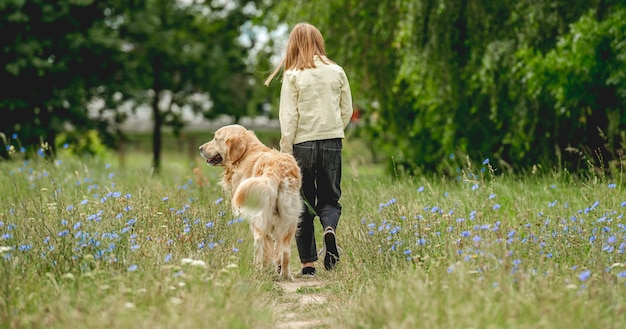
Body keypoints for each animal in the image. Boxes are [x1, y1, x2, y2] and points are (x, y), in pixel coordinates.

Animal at [197, 124, 300, 278]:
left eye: (216, 138)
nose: (200, 148)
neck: (245, 154)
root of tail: (276, 169)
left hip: (259, 218)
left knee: (260, 242)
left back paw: (257, 270)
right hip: (290, 220)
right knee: (285, 250)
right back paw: (286, 275)